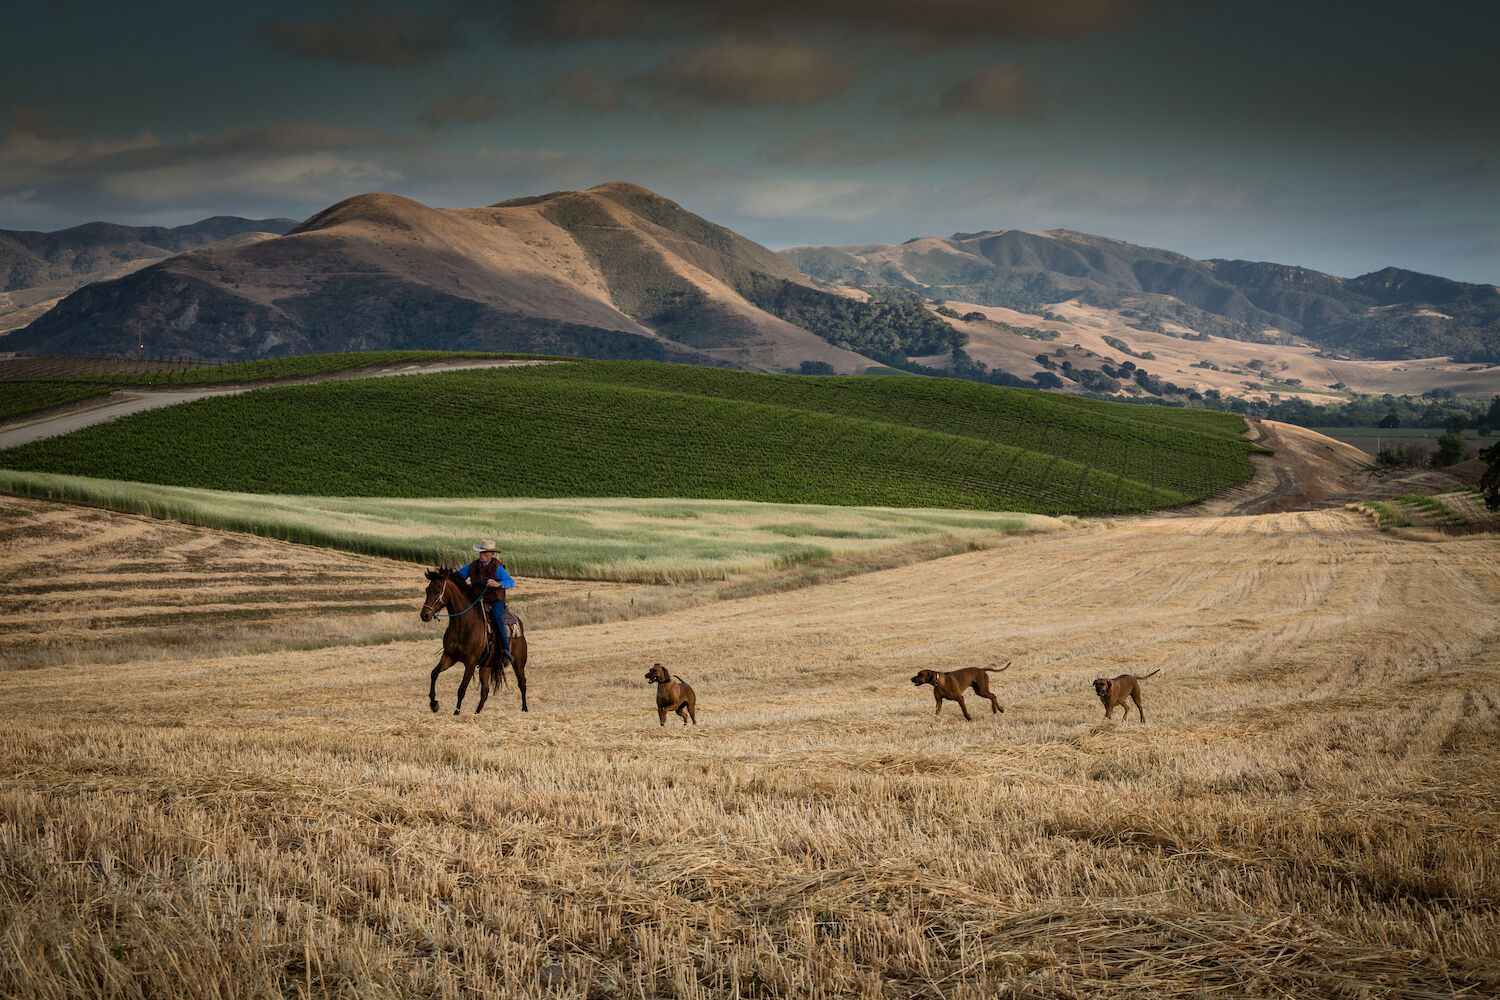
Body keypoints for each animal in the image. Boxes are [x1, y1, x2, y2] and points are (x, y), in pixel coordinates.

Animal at [420, 566, 531, 716]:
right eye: (427, 590)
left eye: (437, 591)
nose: (425, 615)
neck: (463, 625)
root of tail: (518, 622)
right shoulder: (449, 656)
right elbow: (434, 673)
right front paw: (434, 704)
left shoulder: (471, 662)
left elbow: (462, 688)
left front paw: (456, 713)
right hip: (486, 666)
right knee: (485, 690)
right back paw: (477, 712)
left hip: (518, 663)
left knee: (522, 684)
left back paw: (524, 708)